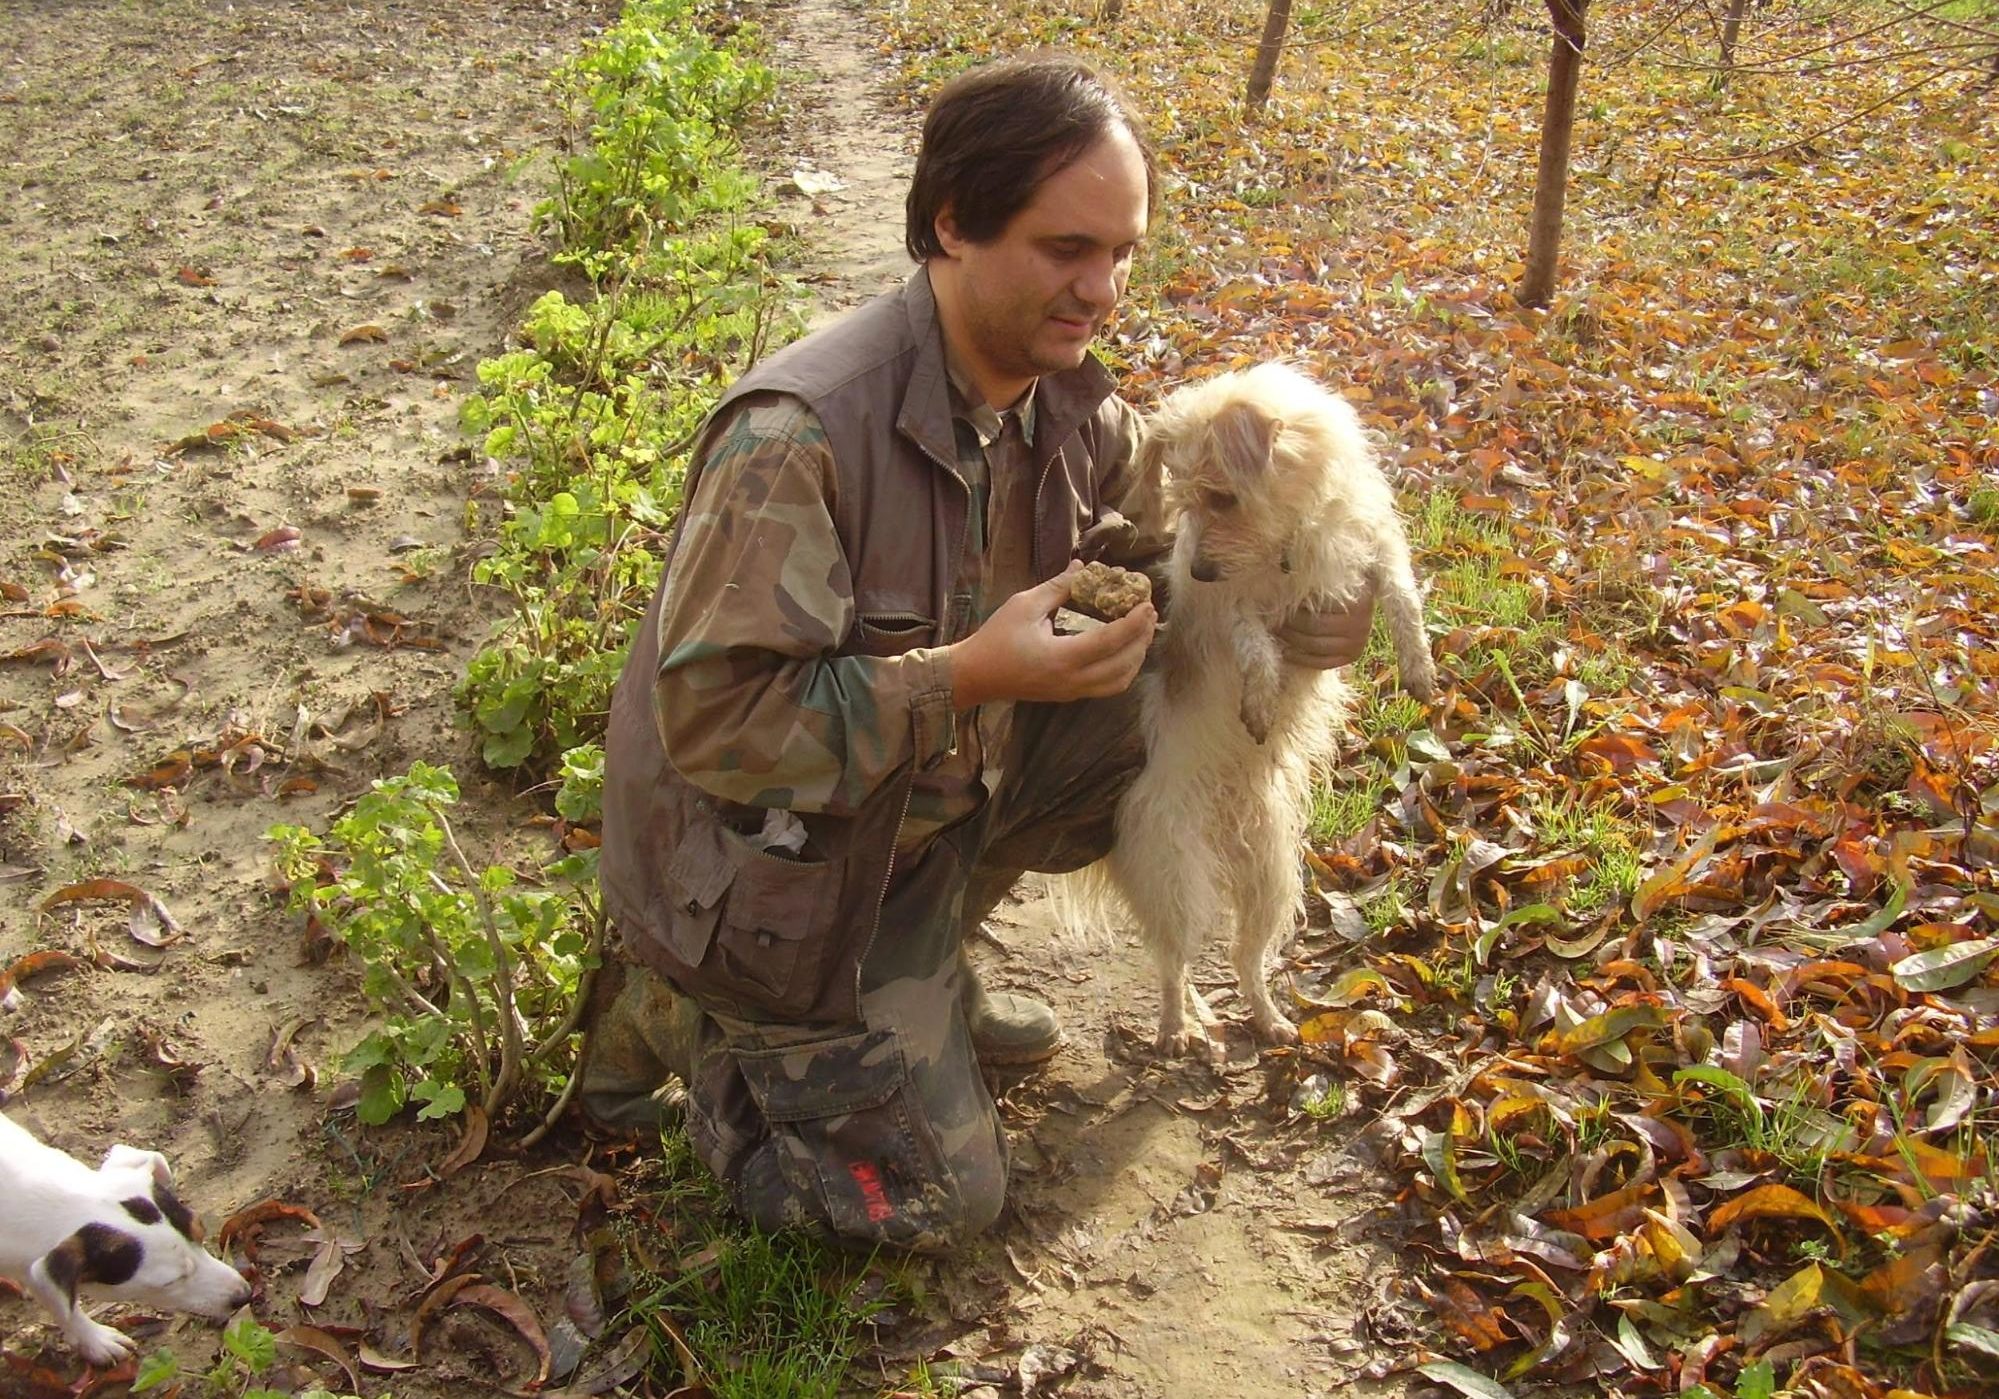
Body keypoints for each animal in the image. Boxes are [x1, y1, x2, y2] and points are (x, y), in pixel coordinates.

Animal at [1, 1111, 251, 1359]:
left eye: (200, 1232)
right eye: (170, 1281)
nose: (244, 1295)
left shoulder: (28, 1262)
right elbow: (62, 1304)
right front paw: (95, 1340)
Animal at [1095, 363, 1439, 1063]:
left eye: (1222, 497)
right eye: (1184, 500)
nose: (1199, 568)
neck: (1283, 545)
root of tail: (1223, 818)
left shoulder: (1374, 543)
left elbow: (1400, 591)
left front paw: (1417, 662)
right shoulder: (1230, 609)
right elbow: (1252, 643)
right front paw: (1260, 697)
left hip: (1271, 877)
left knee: (1243, 958)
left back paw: (1267, 1018)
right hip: (1174, 872)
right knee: (1175, 963)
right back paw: (1176, 1026)